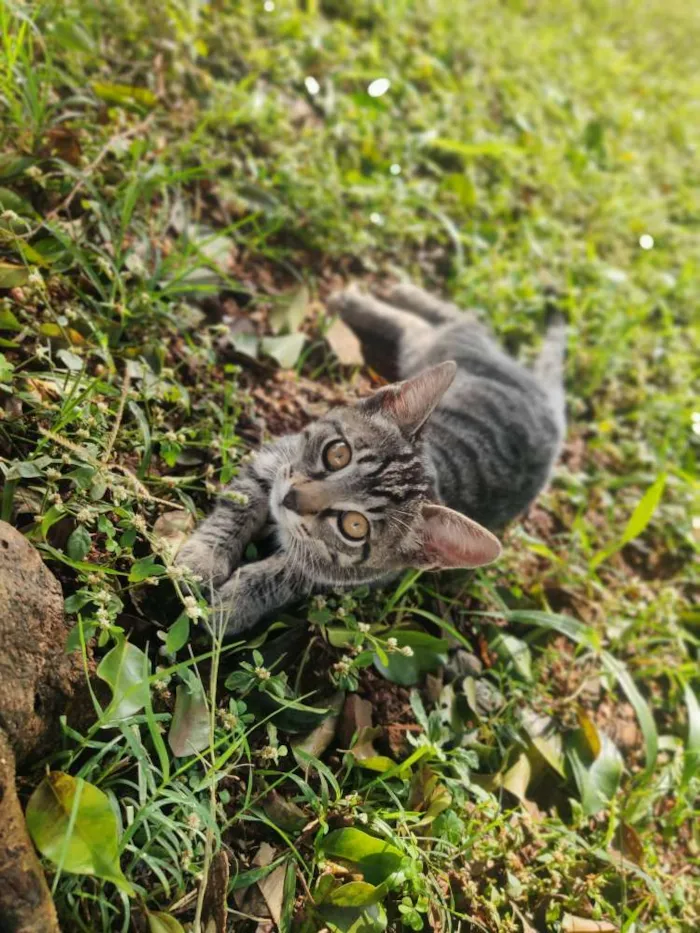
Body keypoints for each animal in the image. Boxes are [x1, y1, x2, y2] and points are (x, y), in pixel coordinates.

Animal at [178, 284, 568, 632]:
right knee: (450, 320)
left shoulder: (351, 576)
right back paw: (378, 297)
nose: (290, 499)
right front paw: (203, 557)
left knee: (437, 324)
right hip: (439, 350)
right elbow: (238, 505)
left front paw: (235, 603)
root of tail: (548, 402)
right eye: (337, 453)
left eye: (354, 526)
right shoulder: (275, 459)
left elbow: (286, 575)